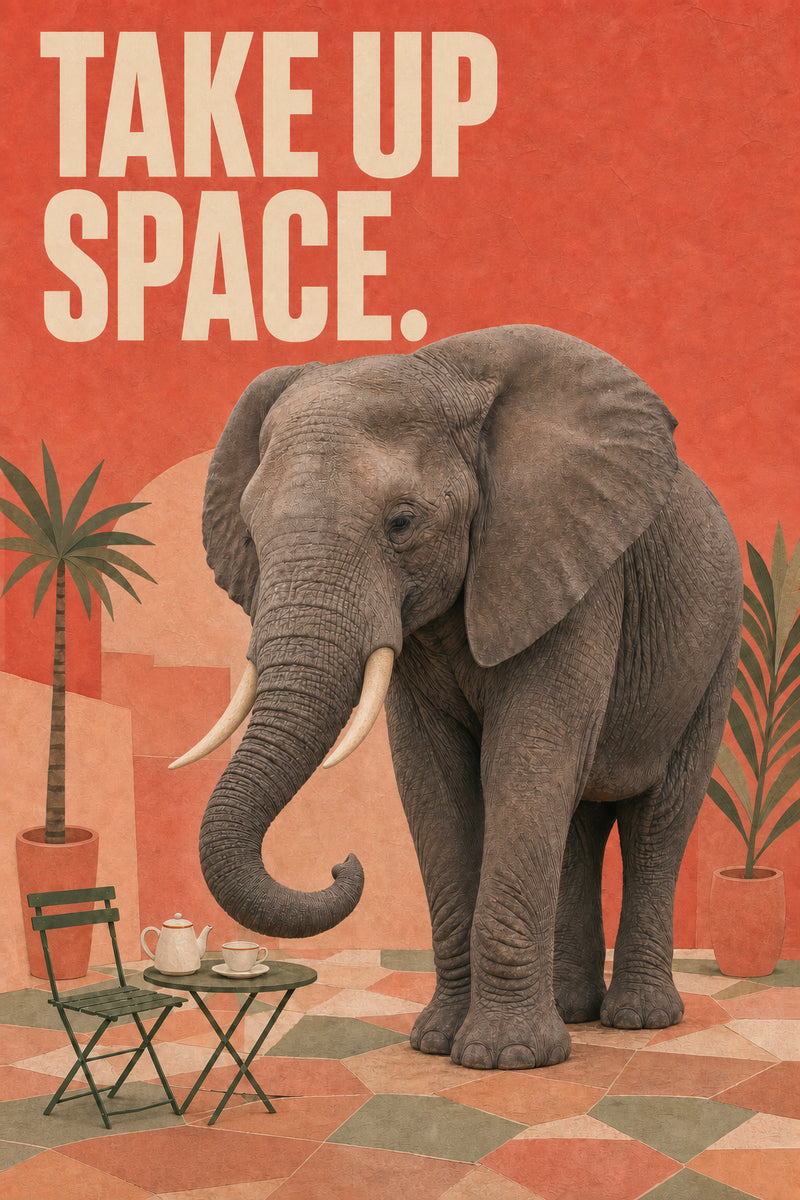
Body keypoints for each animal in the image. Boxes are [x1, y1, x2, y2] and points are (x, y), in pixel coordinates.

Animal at [172, 324, 743, 1070]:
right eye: (250, 530)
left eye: (402, 522)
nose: (342, 862)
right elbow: (434, 781)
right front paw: (436, 1042)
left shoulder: (569, 565)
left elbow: (526, 761)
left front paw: (506, 1057)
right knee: (577, 821)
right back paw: (575, 1011)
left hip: (717, 649)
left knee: (657, 818)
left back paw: (638, 1020)